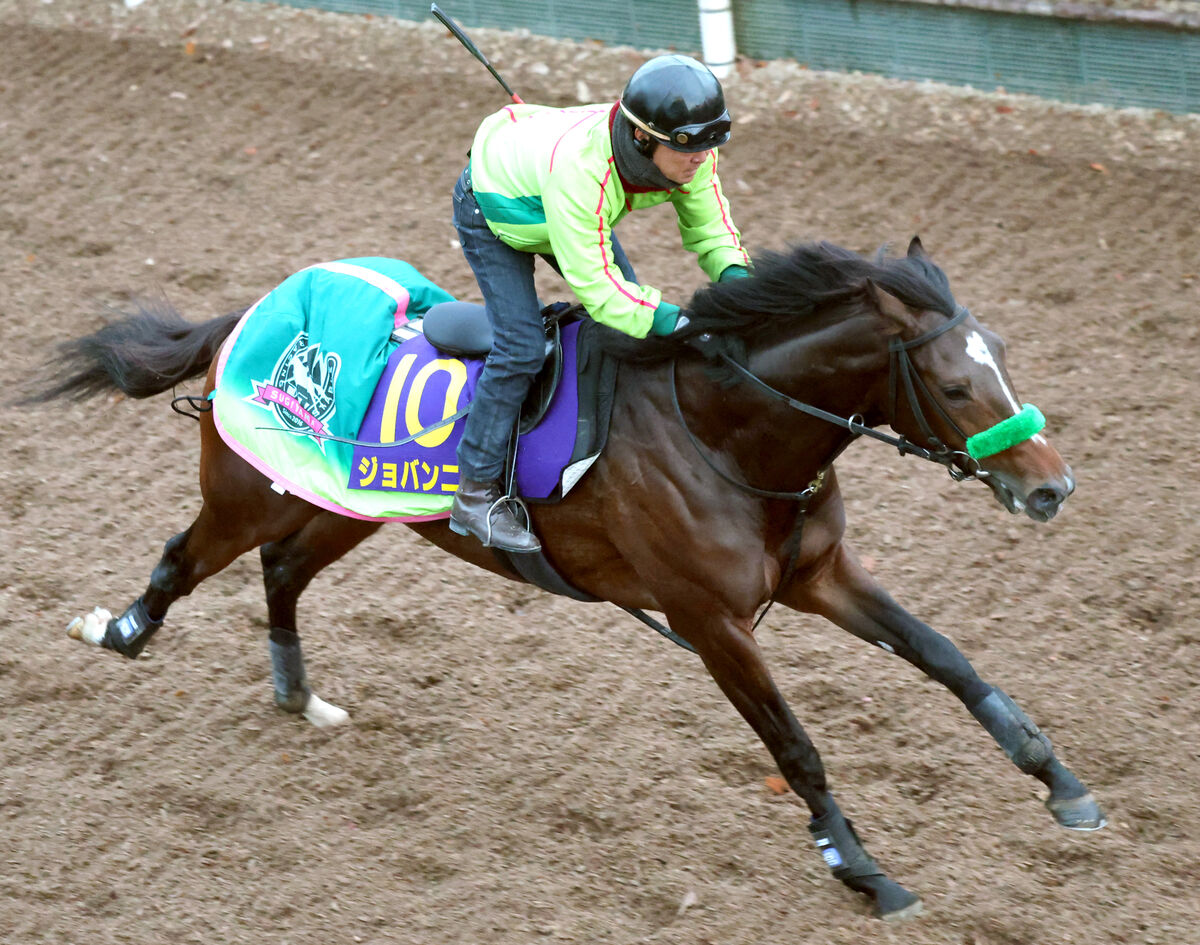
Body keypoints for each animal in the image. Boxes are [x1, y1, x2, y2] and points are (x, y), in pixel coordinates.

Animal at [25, 239, 1104, 921]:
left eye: (1004, 361)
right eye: (957, 385)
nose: (1051, 488)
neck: (724, 430)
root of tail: (247, 319)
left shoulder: (821, 571)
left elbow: (948, 658)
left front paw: (1060, 782)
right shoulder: (710, 618)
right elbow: (794, 744)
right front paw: (864, 870)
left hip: (348, 506)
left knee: (283, 570)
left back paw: (300, 694)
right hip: (251, 492)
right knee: (186, 558)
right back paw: (117, 633)